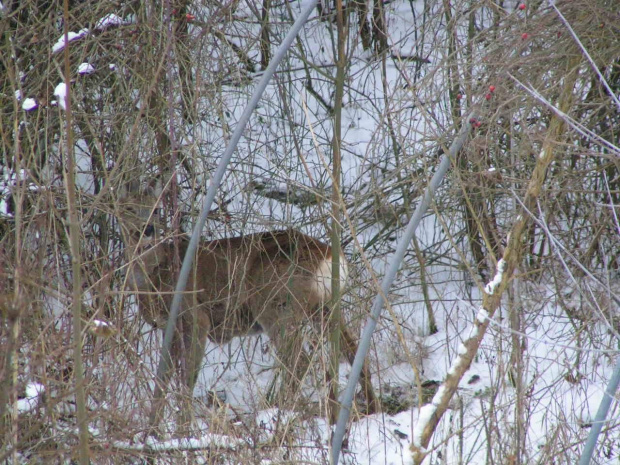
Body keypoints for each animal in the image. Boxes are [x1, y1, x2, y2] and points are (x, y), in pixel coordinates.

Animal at [117, 188, 378, 424]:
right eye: (128, 208)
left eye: (155, 208)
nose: (147, 229)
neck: (153, 276)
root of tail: (330, 257)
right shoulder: (169, 328)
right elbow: (162, 378)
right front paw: (152, 427)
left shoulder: (195, 318)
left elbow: (187, 378)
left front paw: (183, 427)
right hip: (325, 306)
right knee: (353, 349)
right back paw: (369, 408)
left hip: (276, 305)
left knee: (299, 361)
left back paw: (278, 412)